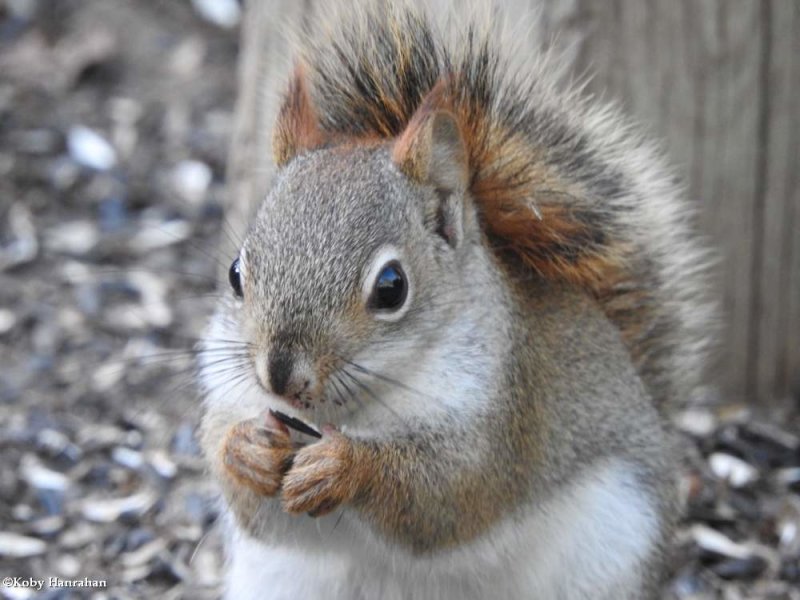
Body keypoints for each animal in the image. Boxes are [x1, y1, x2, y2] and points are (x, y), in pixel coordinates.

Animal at [197, 2, 716, 596]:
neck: (348, 411)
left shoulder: (503, 416)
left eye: (392, 287)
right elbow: (252, 504)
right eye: (236, 273)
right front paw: (245, 451)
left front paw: (345, 466)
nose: (280, 375)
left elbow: (446, 496)